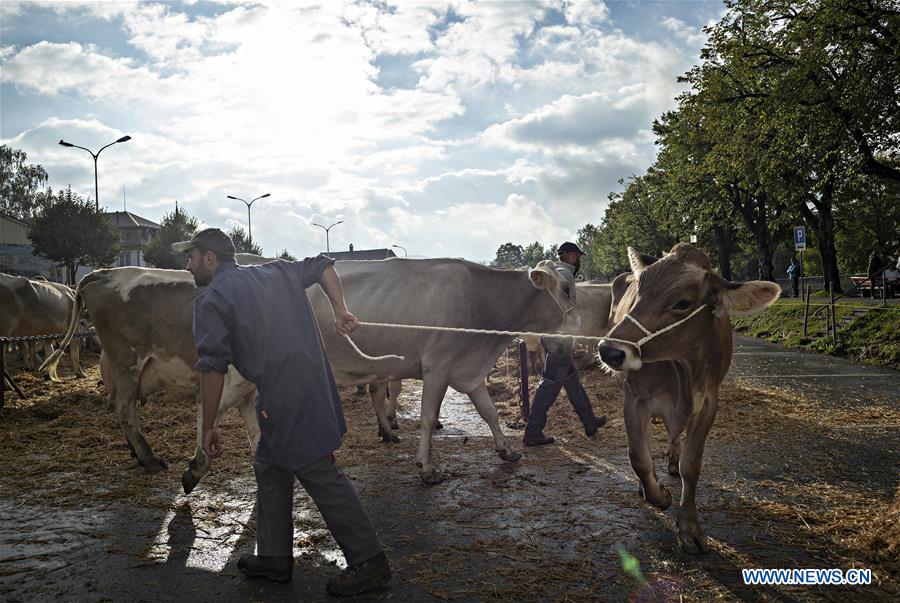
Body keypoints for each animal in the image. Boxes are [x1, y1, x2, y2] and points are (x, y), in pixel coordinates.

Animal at [596, 244, 780, 552]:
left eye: (683, 303)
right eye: (639, 291)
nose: (609, 351)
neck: (682, 367)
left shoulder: (708, 404)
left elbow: (691, 466)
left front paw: (689, 527)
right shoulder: (634, 399)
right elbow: (639, 457)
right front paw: (658, 495)